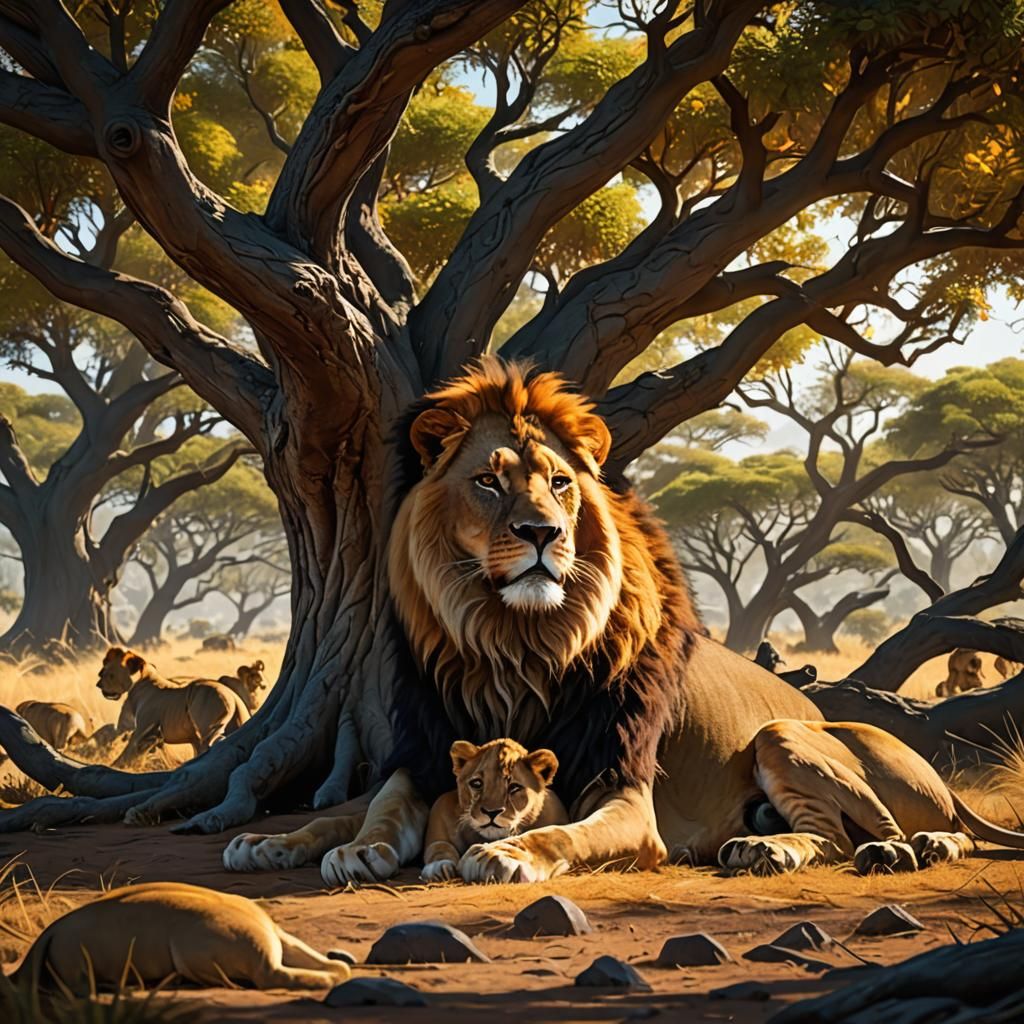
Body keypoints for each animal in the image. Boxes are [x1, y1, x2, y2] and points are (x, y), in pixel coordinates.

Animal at [98, 647, 249, 764]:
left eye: (109, 674)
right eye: (103, 672)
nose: (98, 685)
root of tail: (233, 696)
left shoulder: (142, 732)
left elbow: (124, 756)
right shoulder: (188, 738)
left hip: (210, 729)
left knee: (217, 743)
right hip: (238, 722)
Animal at [421, 738, 568, 882]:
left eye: (514, 787)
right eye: (477, 783)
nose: (491, 812)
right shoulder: (441, 812)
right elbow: (440, 846)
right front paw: (439, 868)